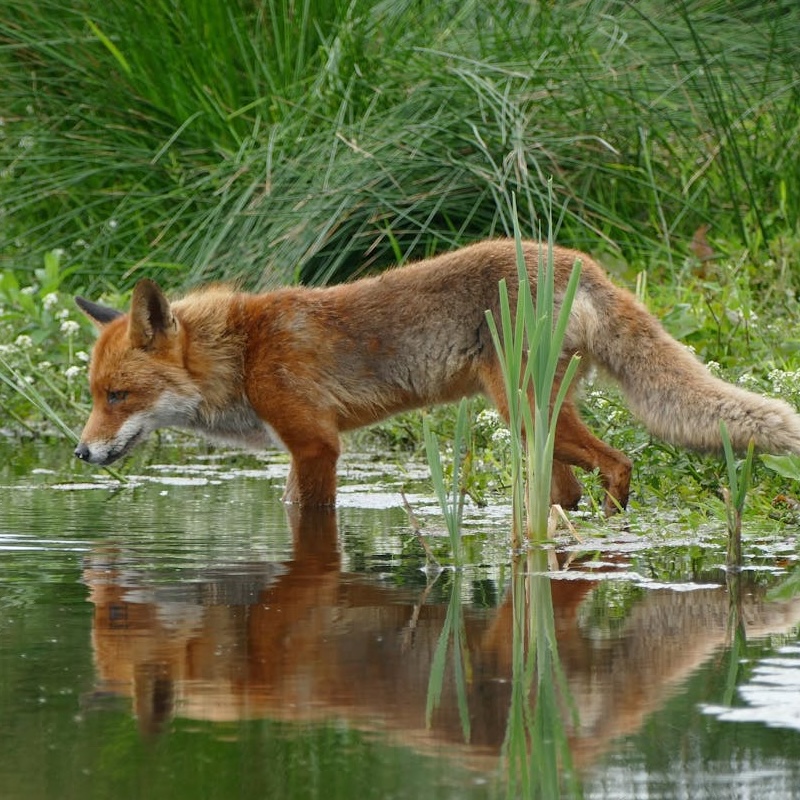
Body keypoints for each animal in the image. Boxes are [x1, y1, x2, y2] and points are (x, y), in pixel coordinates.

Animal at [74, 239, 800, 514]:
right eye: (94, 396)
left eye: (119, 396)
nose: (80, 452)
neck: (244, 352)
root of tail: (578, 260)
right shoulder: (300, 449)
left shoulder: (316, 445)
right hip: (537, 424)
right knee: (570, 487)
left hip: (523, 412)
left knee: (620, 463)